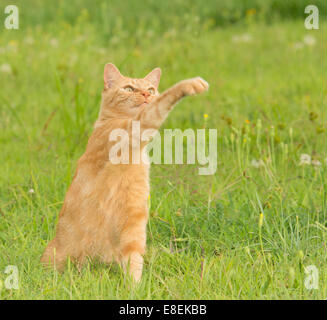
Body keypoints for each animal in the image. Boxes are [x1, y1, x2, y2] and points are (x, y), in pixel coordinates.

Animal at [41, 63, 210, 282]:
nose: (146, 94)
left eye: (151, 90)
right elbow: (162, 104)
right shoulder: (135, 128)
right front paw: (190, 84)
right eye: (129, 88)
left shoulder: (134, 223)